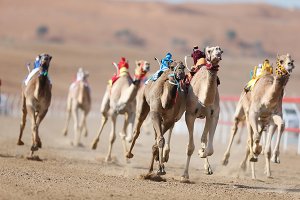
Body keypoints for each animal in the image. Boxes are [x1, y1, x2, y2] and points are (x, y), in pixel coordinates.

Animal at [179, 46, 224, 181]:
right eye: (209, 51)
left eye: (220, 50)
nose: (217, 54)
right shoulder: (189, 115)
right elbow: (190, 147)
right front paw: (184, 175)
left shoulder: (214, 114)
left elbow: (209, 148)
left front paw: (201, 153)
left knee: (204, 138)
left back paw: (207, 167)